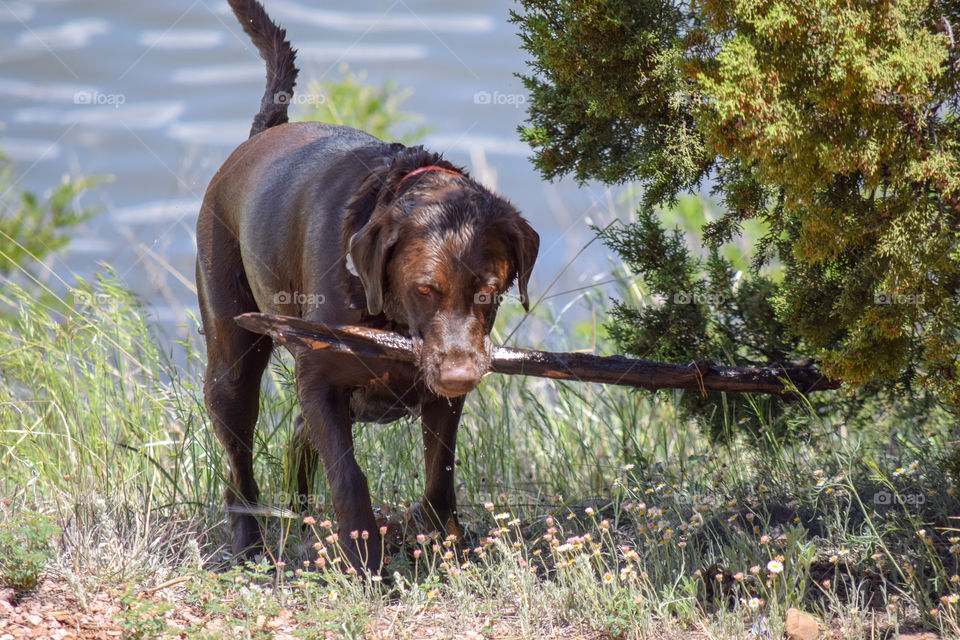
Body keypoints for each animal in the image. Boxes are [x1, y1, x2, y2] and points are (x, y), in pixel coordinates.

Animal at [195, 0, 540, 572]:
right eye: (424, 289)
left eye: (490, 290)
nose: (461, 375)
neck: (390, 318)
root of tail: (259, 135)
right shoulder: (321, 379)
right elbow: (349, 474)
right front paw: (364, 558)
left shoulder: (440, 398)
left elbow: (440, 471)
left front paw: (446, 542)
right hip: (231, 355)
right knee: (238, 464)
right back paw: (249, 546)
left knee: (297, 442)